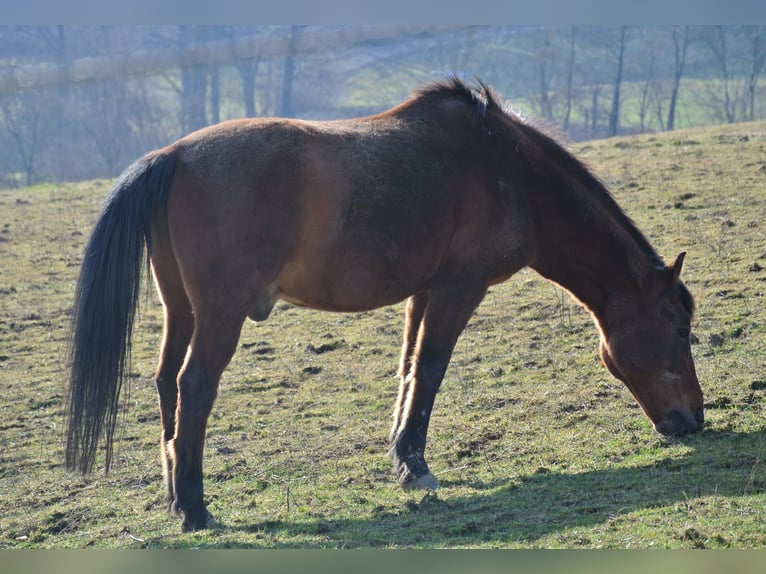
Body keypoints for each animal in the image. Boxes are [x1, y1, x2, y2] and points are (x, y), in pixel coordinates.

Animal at [63, 79, 704, 532]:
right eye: (679, 329)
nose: (694, 419)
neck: (509, 169)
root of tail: (173, 154)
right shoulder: (458, 287)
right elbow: (432, 370)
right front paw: (416, 466)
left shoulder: (423, 290)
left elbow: (408, 372)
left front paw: (402, 458)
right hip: (219, 316)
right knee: (194, 387)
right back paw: (196, 508)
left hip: (182, 312)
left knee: (166, 384)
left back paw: (176, 497)